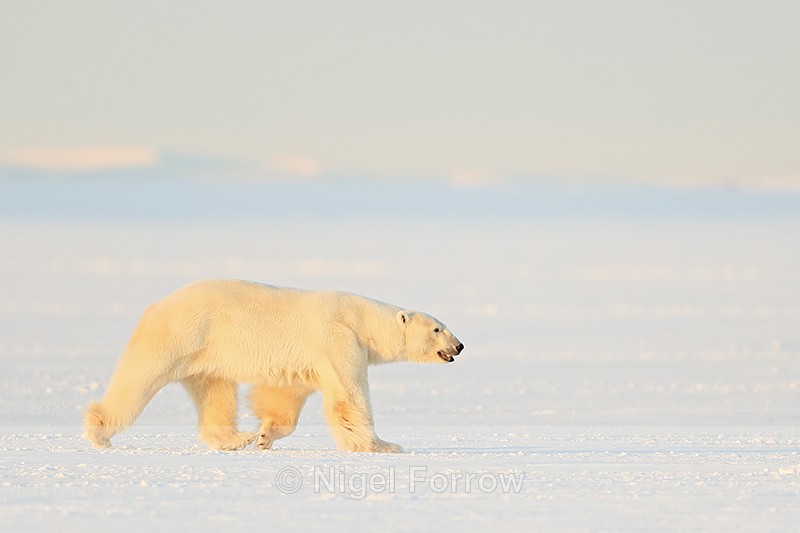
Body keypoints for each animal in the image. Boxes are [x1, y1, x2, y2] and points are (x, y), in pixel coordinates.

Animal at [84, 279, 464, 453]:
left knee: (214, 391)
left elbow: (286, 396)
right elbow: (349, 396)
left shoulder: (309, 358)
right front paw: (383, 446)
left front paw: (265, 435)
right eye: (437, 328)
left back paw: (235, 438)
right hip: (180, 335)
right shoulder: (339, 338)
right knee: (138, 379)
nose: (459, 346)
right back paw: (98, 432)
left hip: (206, 356)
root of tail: (156, 305)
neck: (360, 319)